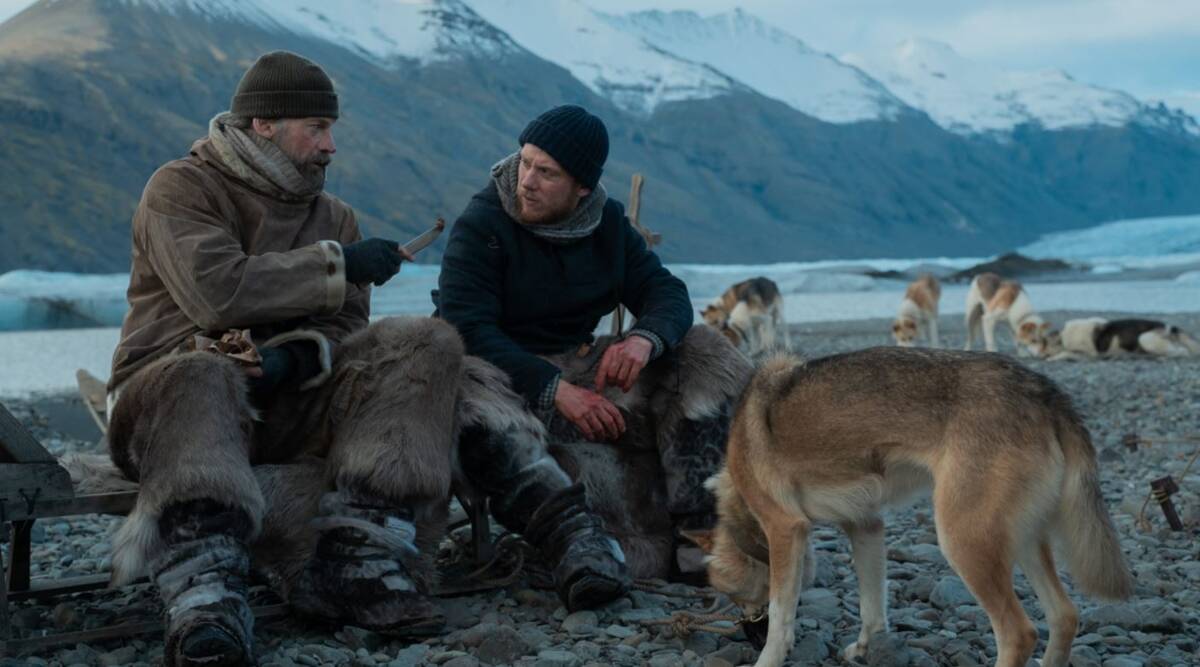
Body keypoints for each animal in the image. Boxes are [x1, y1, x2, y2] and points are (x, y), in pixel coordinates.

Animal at [691, 345, 1128, 667]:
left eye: (734, 596)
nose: (747, 632)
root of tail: (1043, 390)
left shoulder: (786, 529)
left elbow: (782, 617)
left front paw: (766, 657)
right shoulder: (866, 525)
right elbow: (873, 605)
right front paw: (865, 649)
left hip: (964, 541)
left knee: (1019, 633)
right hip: (1021, 540)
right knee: (1064, 616)